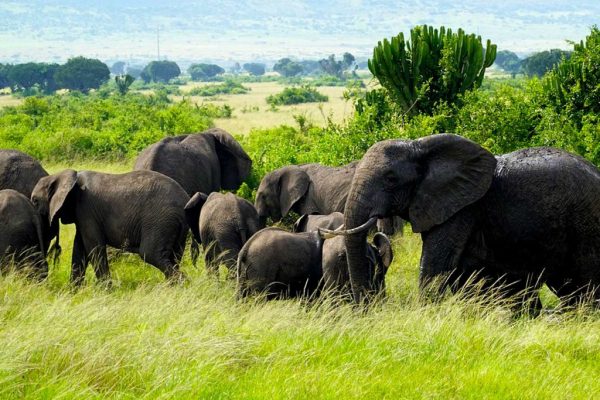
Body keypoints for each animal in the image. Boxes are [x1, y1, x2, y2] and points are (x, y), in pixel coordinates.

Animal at [31, 169, 190, 284]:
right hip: (174, 225)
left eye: (35, 201)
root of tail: (185, 200)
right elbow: (80, 250)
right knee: (173, 256)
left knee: (150, 253)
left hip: (159, 219)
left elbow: (94, 248)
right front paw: (73, 294)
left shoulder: (87, 210)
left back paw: (182, 284)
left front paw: (106, 291)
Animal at [326, 133, 600, 308]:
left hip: (587, 223)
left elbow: (436, 265)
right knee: (568, 288)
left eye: (391, 179)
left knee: (586, 285)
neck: (420, 146)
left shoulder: (463, 210)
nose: (368, 307)